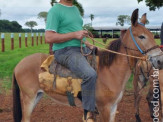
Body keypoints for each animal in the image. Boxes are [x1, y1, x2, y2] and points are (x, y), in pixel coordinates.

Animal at [12, 8, 163, 122]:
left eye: (152, 35)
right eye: (141, 36)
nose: (160, 60)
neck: (110, 72)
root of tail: (19, 64)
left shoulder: (113, 108)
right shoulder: (104, 108)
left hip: (37, 96)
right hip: (28, 98)